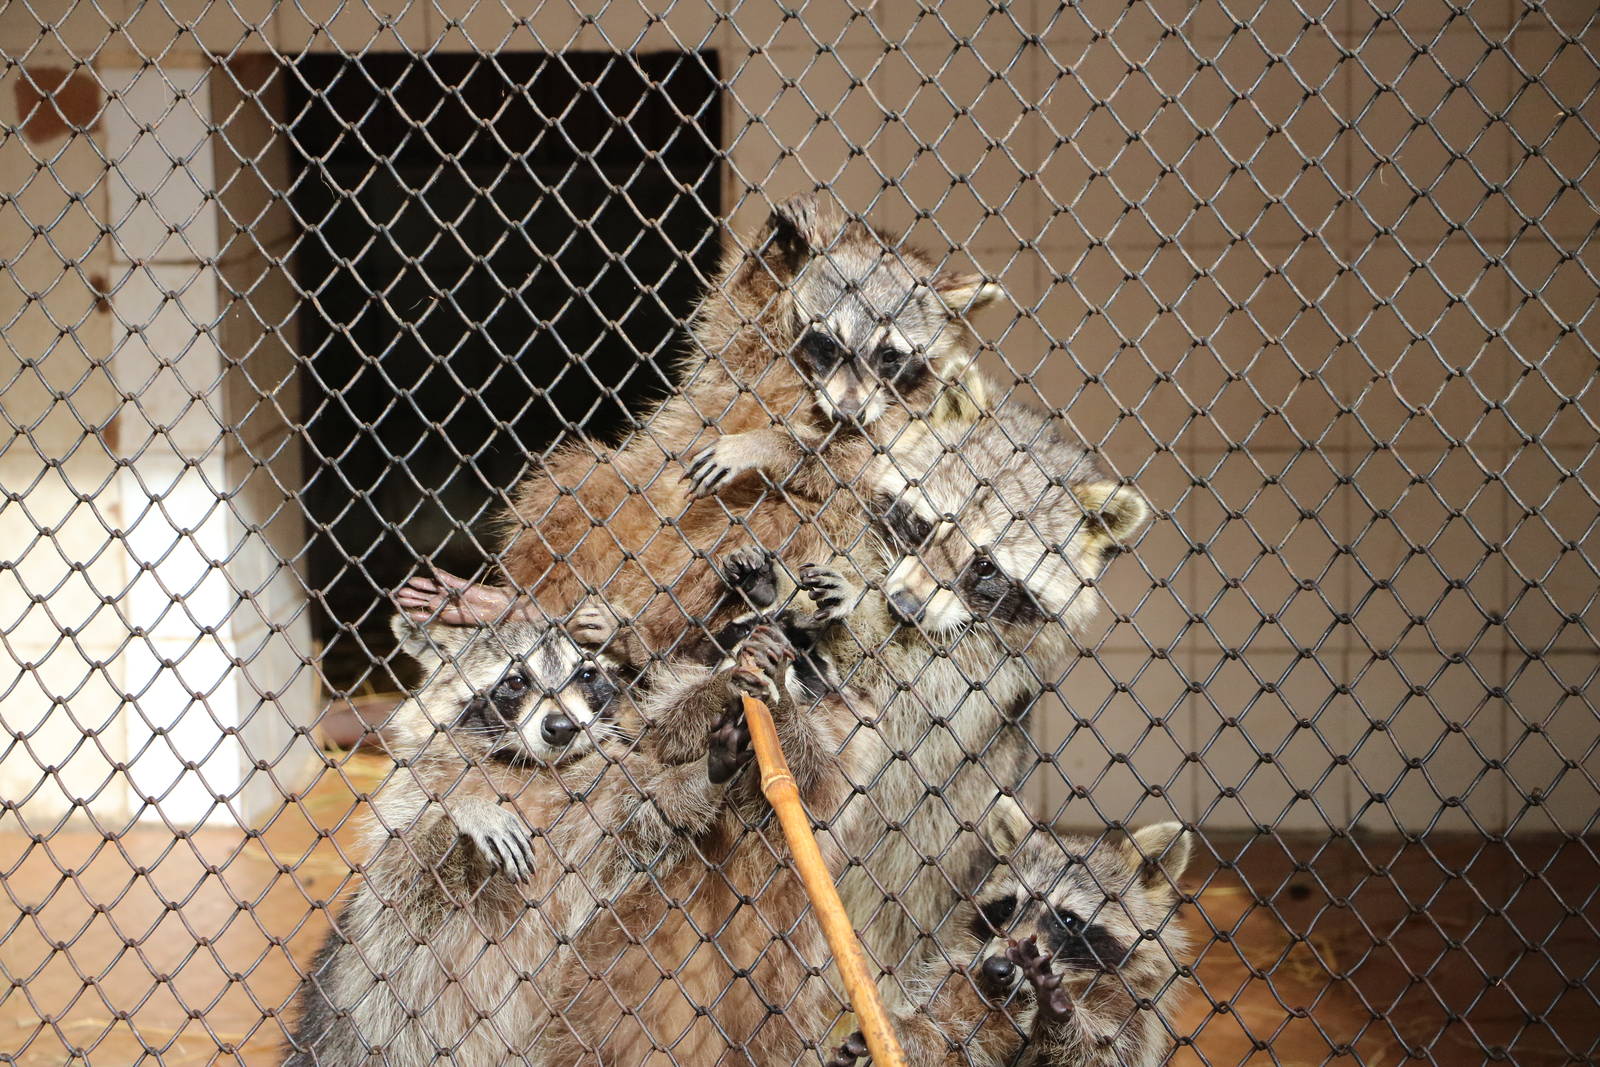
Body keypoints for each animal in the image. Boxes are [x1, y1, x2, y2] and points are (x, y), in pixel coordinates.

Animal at [282, 609, 769, 1066]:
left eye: (586, 675)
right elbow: (406, 869)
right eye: (516, 681)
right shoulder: (410, 802)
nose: (560, 728)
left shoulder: (597, 813)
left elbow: (649, 817)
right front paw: (467, 812)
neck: (531, 768)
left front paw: (708, 741)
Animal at [394, 192, 997, 663]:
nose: (848, 413)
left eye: (891, 355)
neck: (811, 392)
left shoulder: (902, 423)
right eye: (828, 342)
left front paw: (766, 445)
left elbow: (848, 469)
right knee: (577, 480)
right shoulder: (747, 363)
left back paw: (639, 638)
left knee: (783, 521)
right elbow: (732, 321)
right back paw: (519, 600)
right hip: (620, 504)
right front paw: (779, 247)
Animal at [828, 824, 1194, 1067]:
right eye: (1007, 907)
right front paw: (901, 1032)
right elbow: (950, 1042)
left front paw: (1058, 1018)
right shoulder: (965, 981)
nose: (997, 968)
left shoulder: (1128, 1010)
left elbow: (1098, 1054)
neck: (1018, 998)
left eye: (1068, 920)